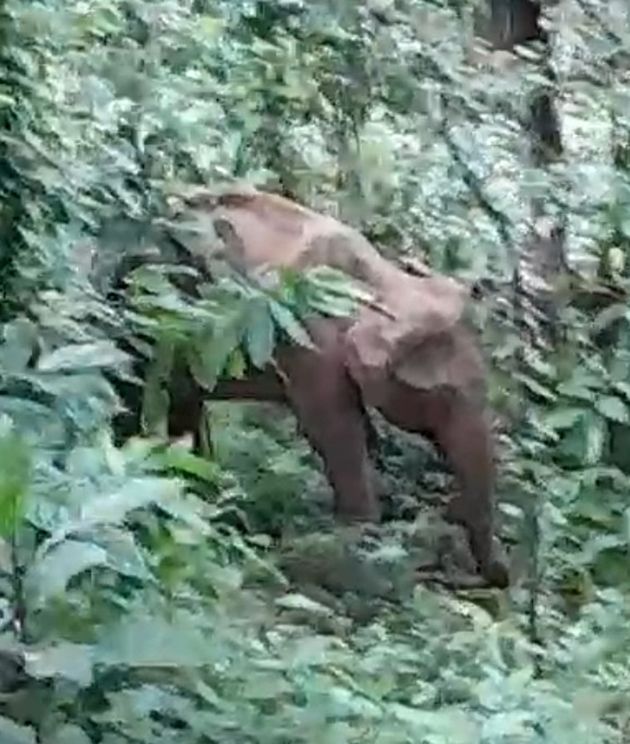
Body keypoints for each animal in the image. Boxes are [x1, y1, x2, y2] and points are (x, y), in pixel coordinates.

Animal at [112, 186, 509, 588]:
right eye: (450, 396)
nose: (494, 577)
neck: (383, 280)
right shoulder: (310, 335)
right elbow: (334, 428)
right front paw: (363, 541)